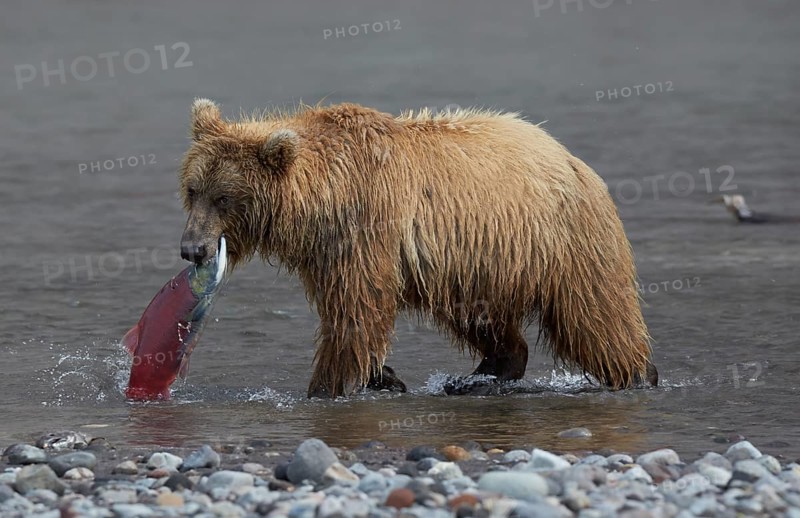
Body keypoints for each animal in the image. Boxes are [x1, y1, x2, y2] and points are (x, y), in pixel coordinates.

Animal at [178, 98, 658, 398]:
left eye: (225, 197)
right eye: (193, 189)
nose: (192, 248)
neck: (321, 202)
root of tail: (571, 158)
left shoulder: (367, 226)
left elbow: (357, 312)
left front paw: (327, 386)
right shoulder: (327, 253)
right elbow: (352, 313)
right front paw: (383, 376)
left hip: (563, 240)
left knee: (595, 314)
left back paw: (637, 372)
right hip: (476, 263)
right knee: (481, 318)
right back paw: (480, 375)